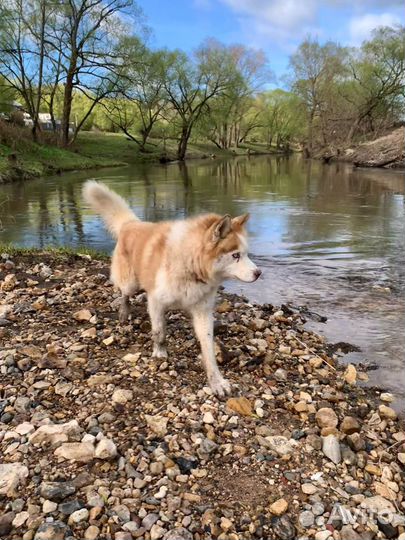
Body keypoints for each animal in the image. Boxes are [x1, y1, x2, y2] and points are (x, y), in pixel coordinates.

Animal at [81, 181, 262, 396]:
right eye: (235, 255)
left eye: (246, 254)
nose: (258, 273)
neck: (190, 266)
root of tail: (131, 224)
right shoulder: (156, 302)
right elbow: (159, 332)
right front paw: (160, 352)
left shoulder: (203, 311)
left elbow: (208, 348)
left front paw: (216, 381)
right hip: (131, 283)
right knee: (125, 294)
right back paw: (124, 312)